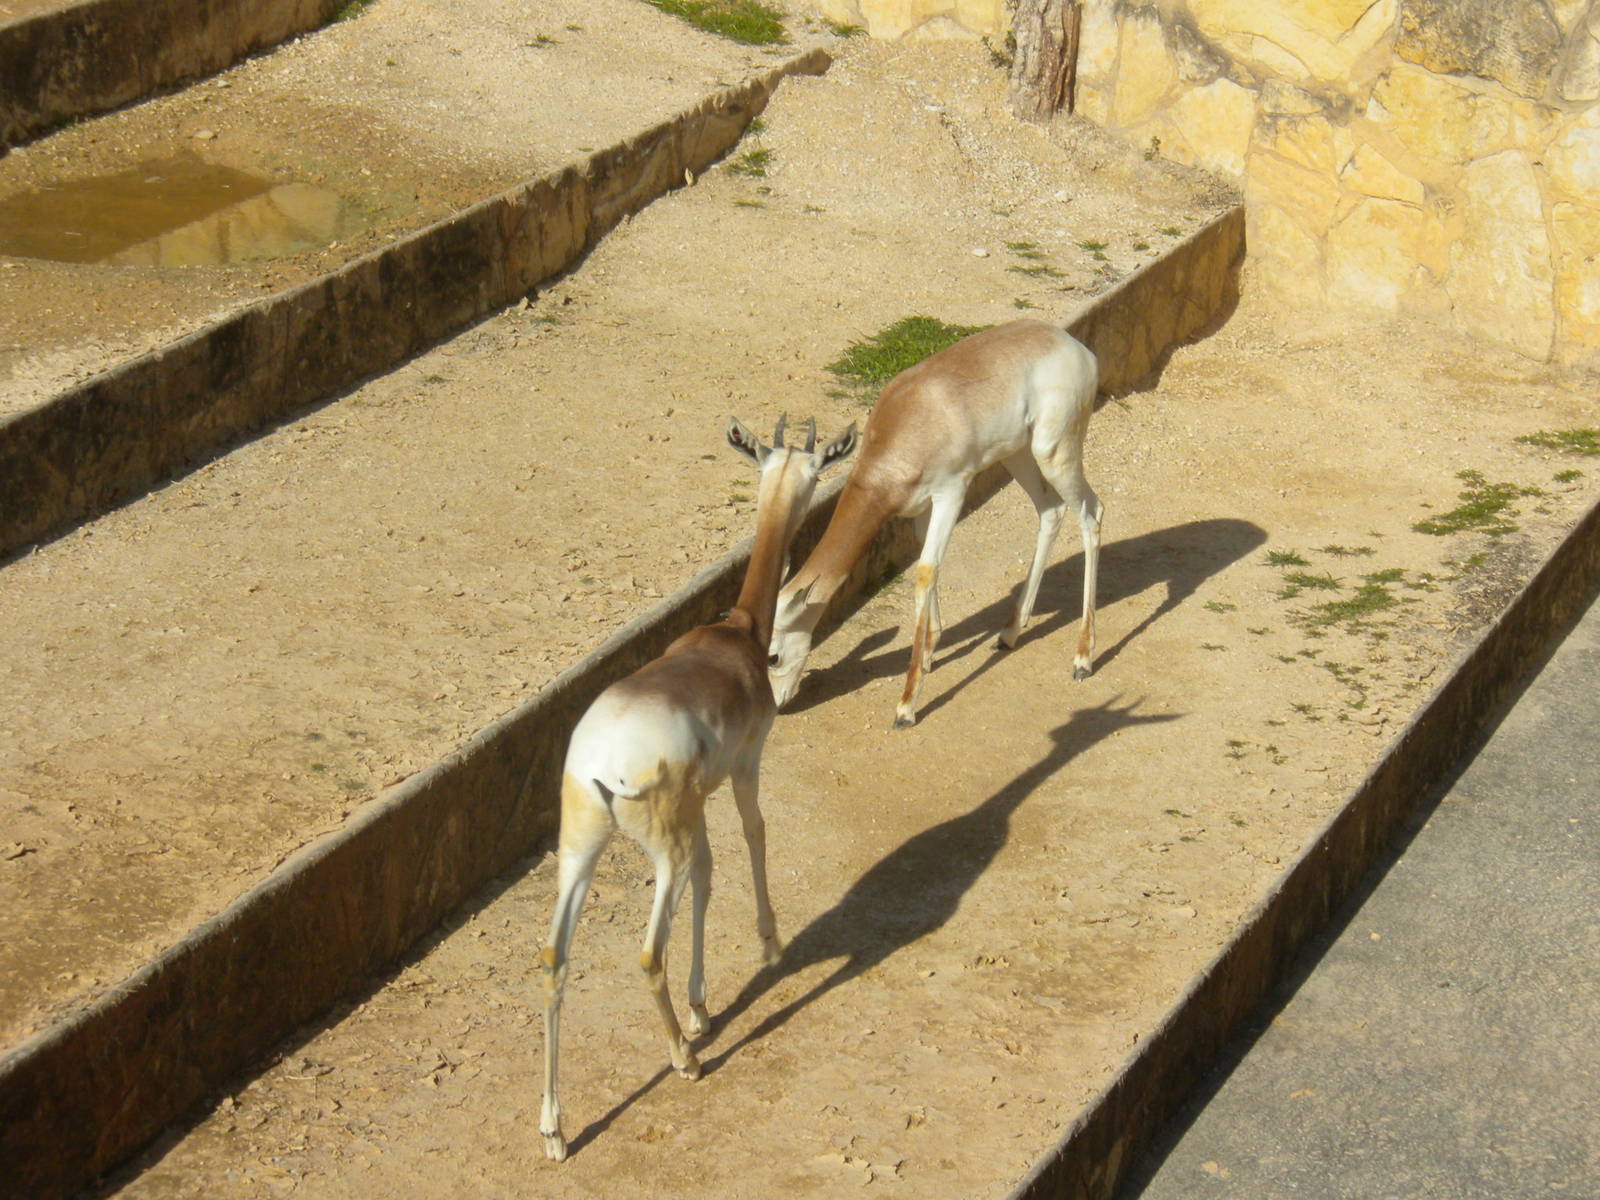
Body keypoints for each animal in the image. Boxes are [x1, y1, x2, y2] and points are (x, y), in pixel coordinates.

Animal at [539, 415, 857, 1163]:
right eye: (815, 472)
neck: (736, 634)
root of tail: (599, 765)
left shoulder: (700, 803)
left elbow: (713, 881)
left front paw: (703, 1006)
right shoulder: (746, 766)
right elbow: (756, 836)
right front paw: (768, 947)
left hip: (581, 851)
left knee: (555, 957)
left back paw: (555, 1130)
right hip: (663, 852)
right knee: (646, 951)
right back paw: (684, 1060)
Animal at [769, 319, 1103, 727]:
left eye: (772, 655)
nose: (777, 704)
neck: (912, 420)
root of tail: (1070, 342)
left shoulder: (951, 493)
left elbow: (926, 570)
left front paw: (907, 705)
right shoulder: (919, 510)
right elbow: (928, 566)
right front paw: (929, 653)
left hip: (1054, 453)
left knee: (1091, 513)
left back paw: (1083, 658)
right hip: (1017, 454)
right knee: (1050, 511)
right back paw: (1010, 632)